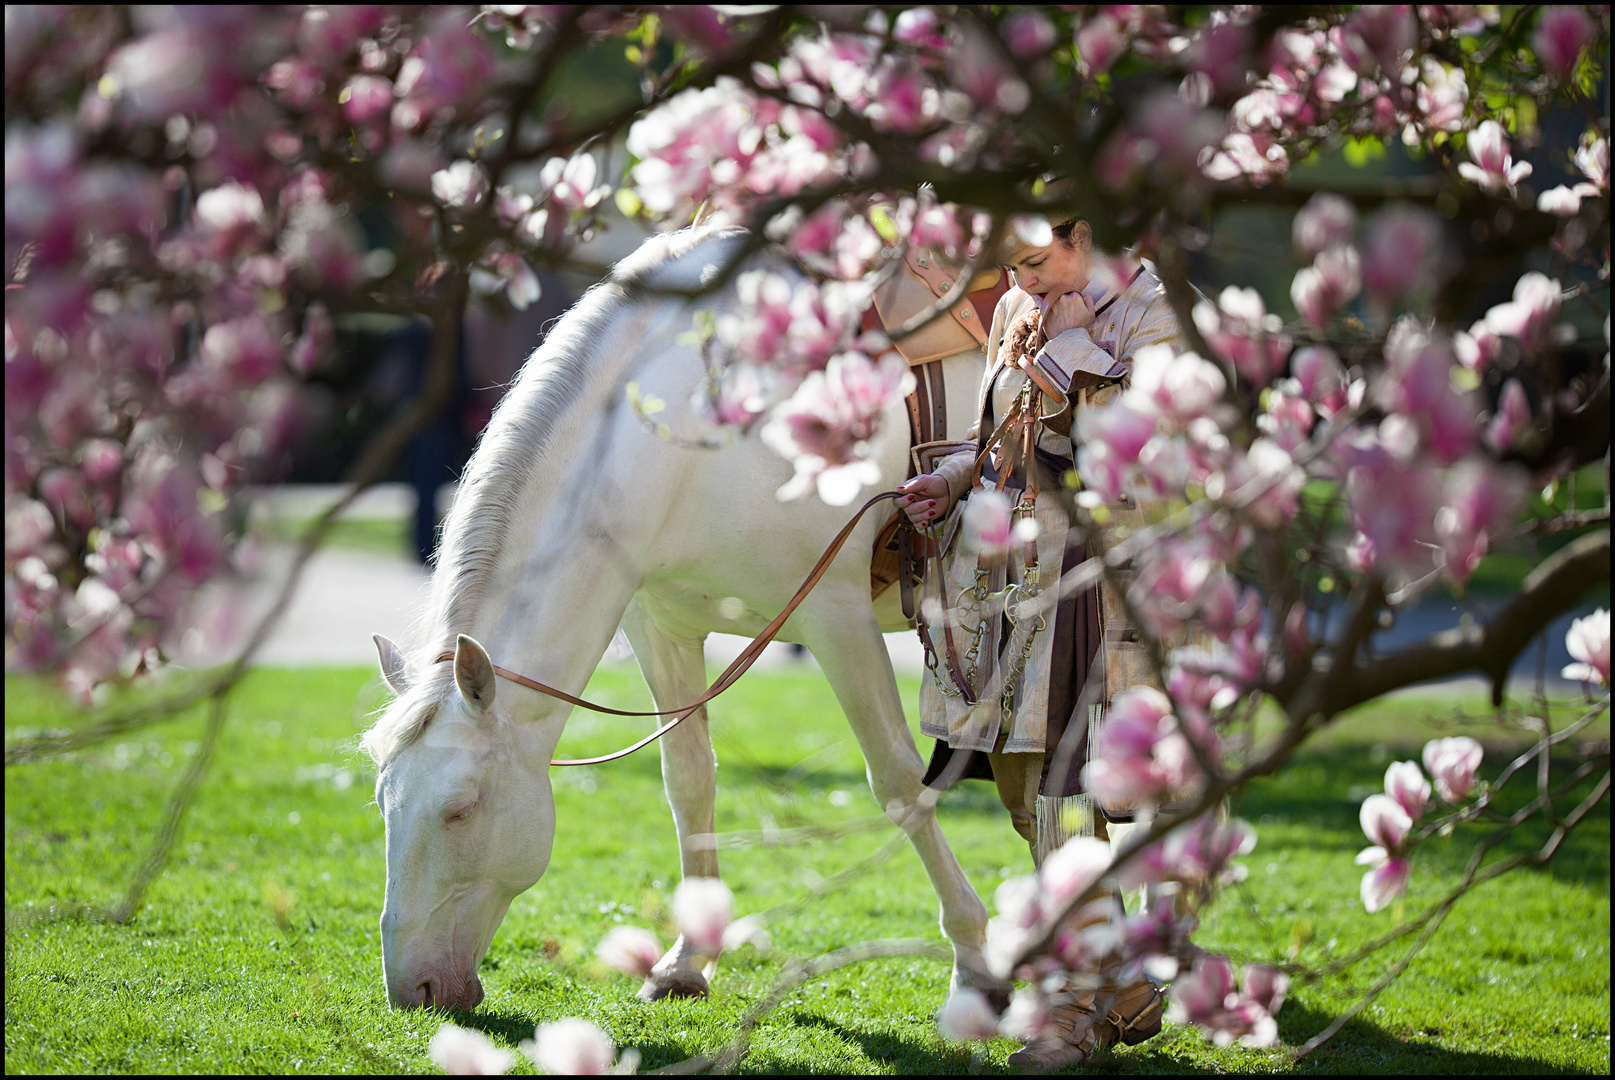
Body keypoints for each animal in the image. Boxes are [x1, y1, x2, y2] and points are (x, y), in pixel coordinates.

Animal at [364, 226, 994, 1013]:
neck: (697, 429)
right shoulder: (657, 626)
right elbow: (688, 778)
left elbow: (901, 785)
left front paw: (974, 960)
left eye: (460, 810)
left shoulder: (836, 616)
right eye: (382, 801)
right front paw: (687, 960)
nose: (412, 990)